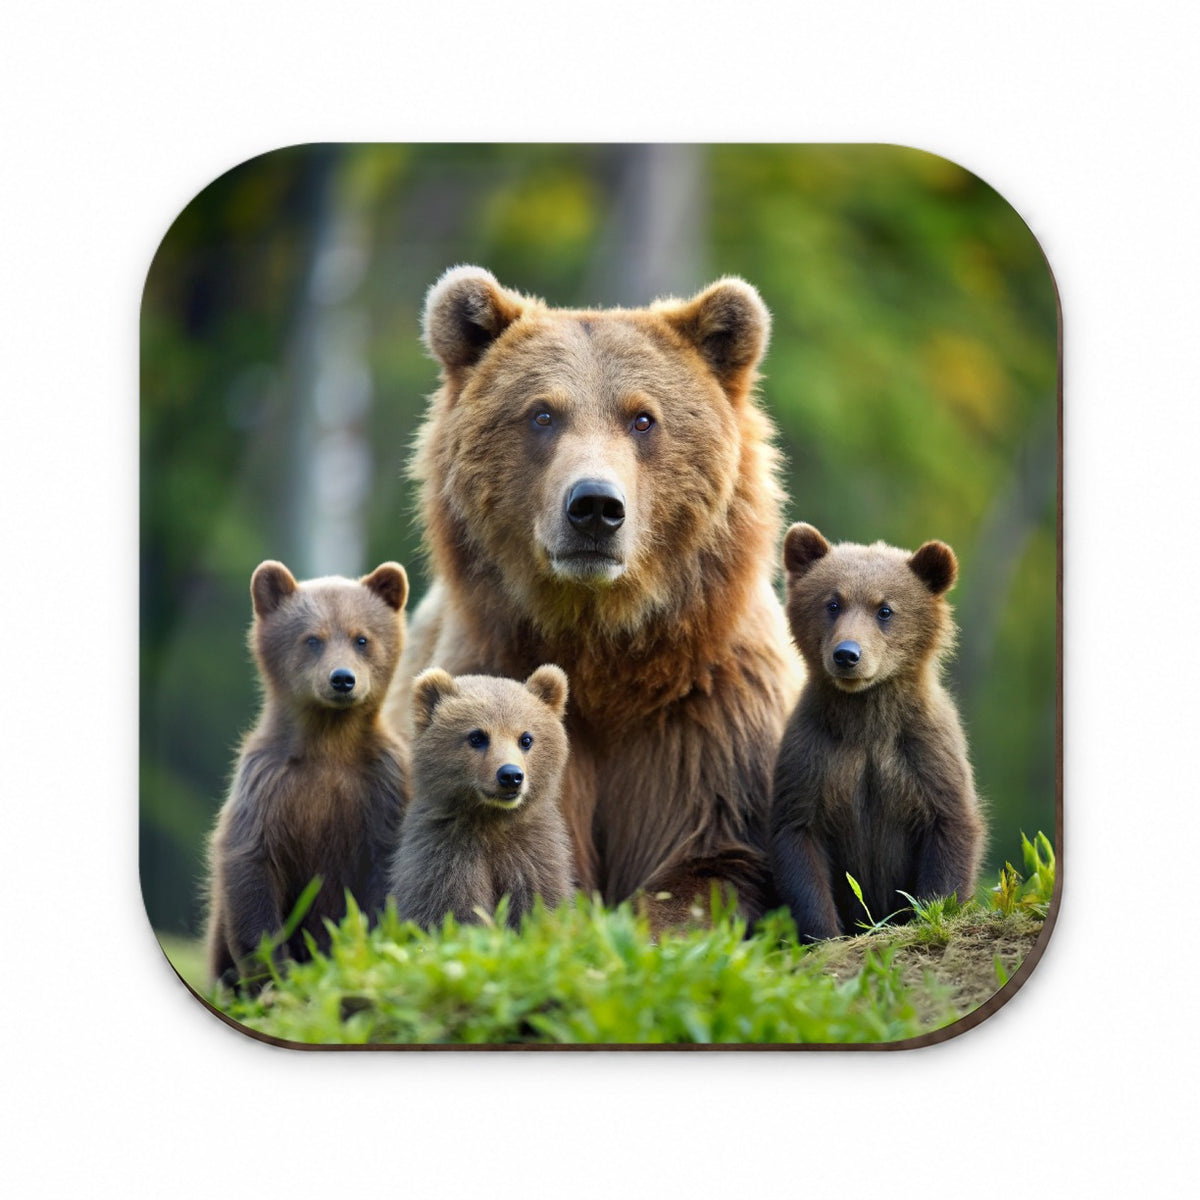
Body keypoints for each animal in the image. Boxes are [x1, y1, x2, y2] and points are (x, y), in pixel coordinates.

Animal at [205, 558, 410, 987]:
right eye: (312, 639)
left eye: (361, 638)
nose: (342, 679)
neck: (328, 744)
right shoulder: (266, 786)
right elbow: (250, 869)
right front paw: (273, 973)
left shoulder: (383, 788)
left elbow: (387, 873)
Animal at [389, 665, 573, 929]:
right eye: (477, 737)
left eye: (526, 738)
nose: (510, 775)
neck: (491, 820)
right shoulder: (446, 856)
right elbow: (449, 909)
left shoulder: (532, 856)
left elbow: (542, 901)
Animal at [769, 522, 985, 941]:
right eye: (832, 603)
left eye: (885, 609)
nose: (847, 654)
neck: (866, 717)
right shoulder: (812, 757)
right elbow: (799, 842)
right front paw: (822, 933)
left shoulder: (924, 754)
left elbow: (950, 826)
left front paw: (931, 911)